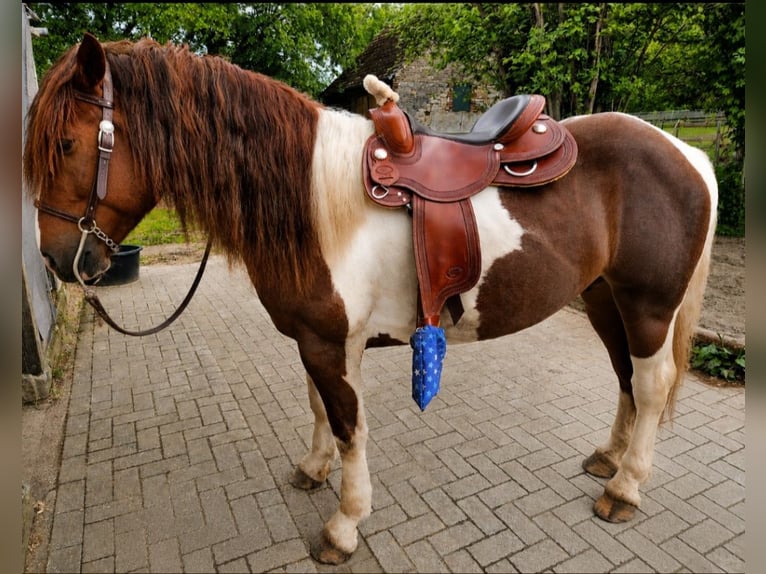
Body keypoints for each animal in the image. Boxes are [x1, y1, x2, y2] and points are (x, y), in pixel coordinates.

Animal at [24, 33, 717, 565]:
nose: (58, 261)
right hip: (604, 300)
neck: (308, 199)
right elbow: (319, 409)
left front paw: (344, 525)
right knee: (626, 378)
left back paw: (625, 489)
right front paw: (313, 470)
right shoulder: (315, 341)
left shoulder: (334, 344)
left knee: (651, 384)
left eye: (67, 144)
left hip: (648, 306)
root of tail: (687, 152)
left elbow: (350, 426)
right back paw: (609, 460)